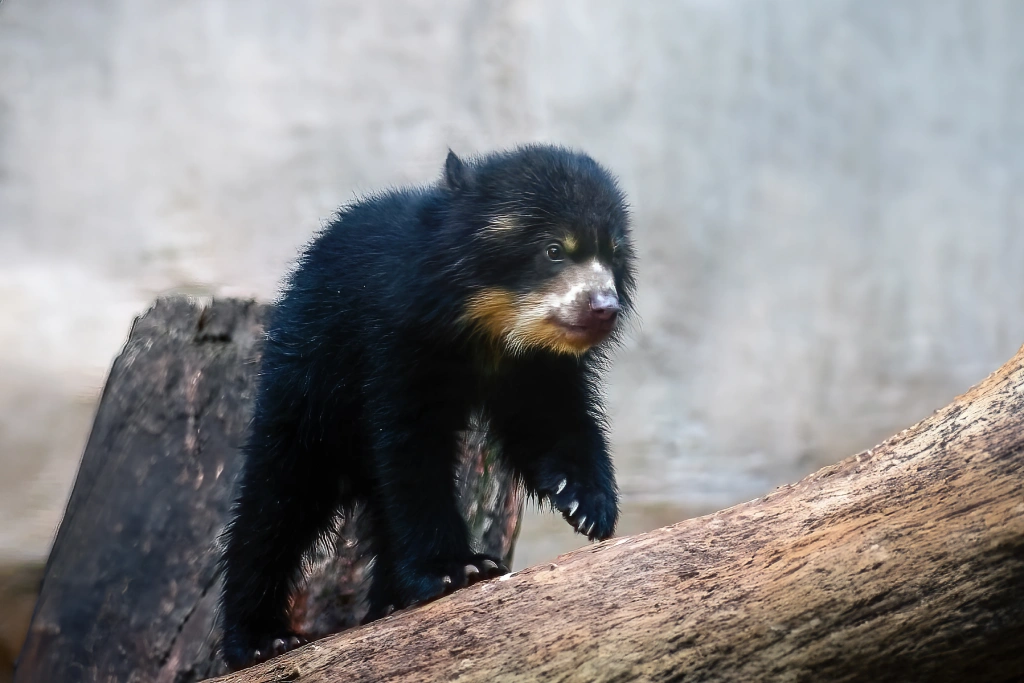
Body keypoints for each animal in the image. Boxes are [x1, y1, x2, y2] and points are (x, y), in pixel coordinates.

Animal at [218, 144, 637, 669]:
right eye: (554, 250)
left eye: (613, 255)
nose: (604, 307)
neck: (491, 328)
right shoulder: (396, 337)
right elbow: (411, 449)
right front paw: (458, 569)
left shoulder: (538, 365)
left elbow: (551, 421)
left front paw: (587, 506)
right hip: (308, 379)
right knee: (279, 496)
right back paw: (259, 639)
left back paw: (391, 600)